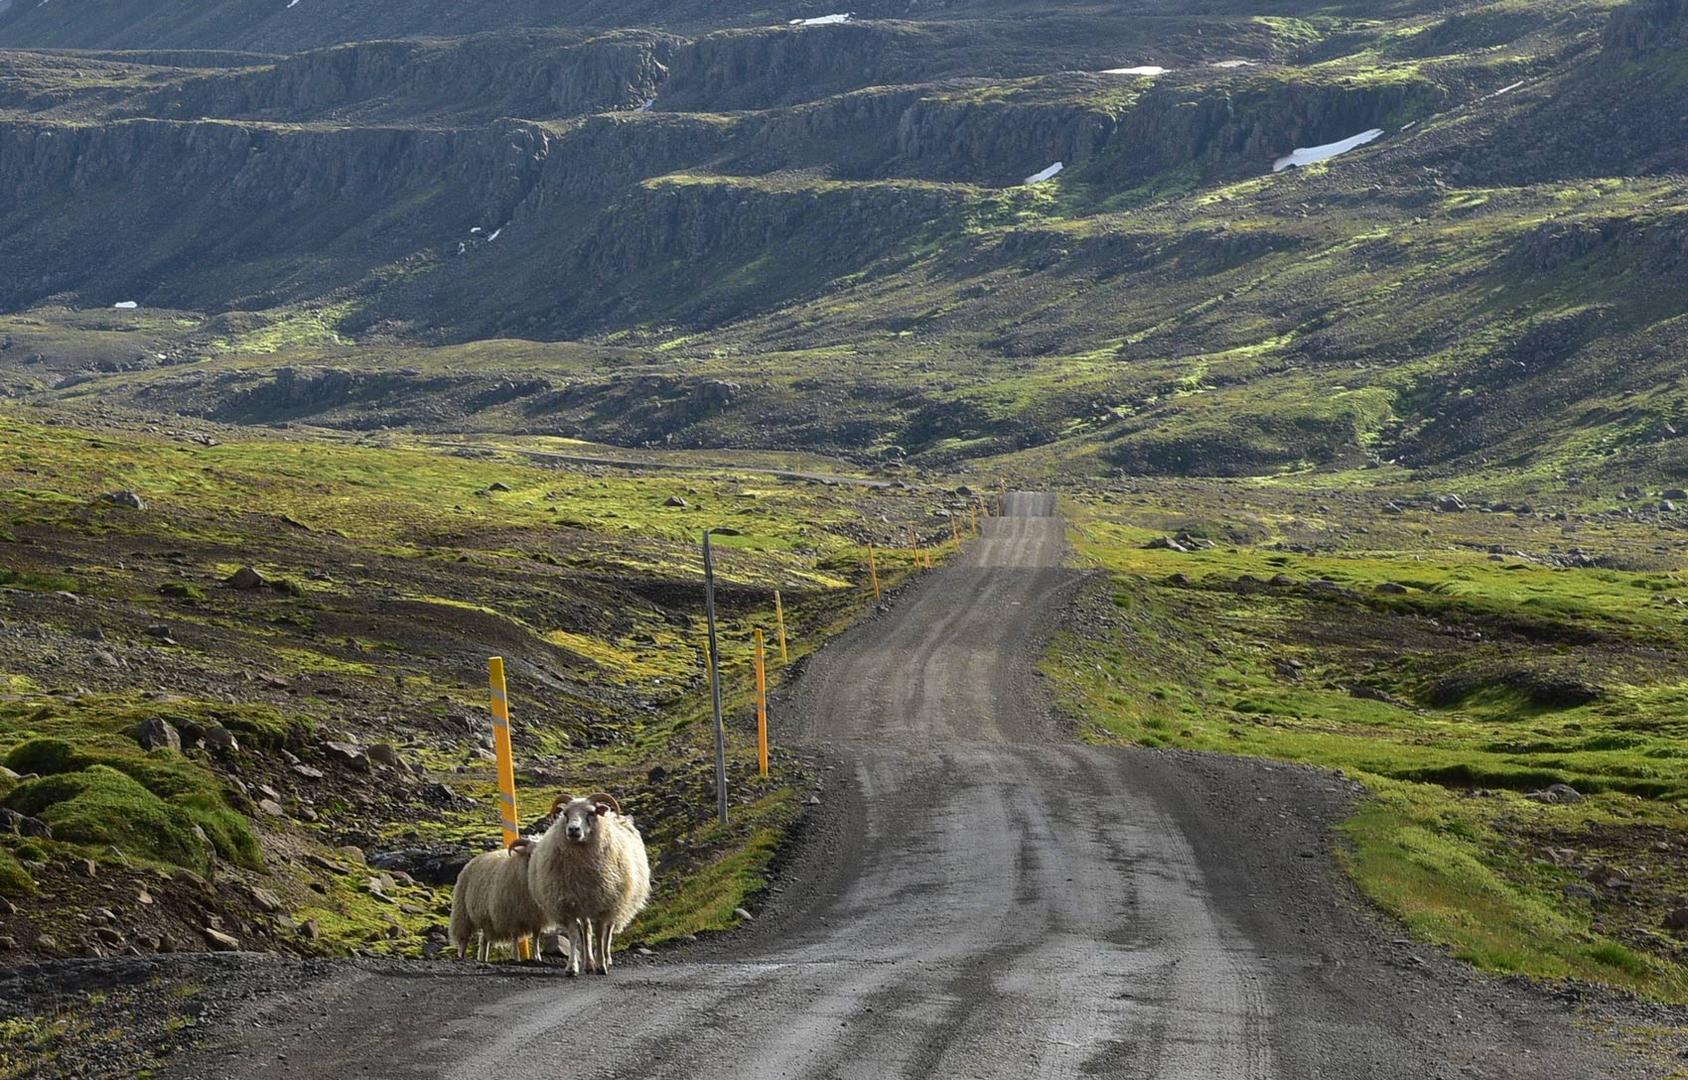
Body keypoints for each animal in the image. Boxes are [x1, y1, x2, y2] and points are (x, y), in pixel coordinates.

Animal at [530, 793, 648, 978]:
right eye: (565, 814)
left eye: (591, 813)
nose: (573, 830)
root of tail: (612, 815)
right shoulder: (569, 904)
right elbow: (574, 935)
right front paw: (572, 967)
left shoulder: (603, 904)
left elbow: (600, 935)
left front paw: (601, 965)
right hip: (583, 905)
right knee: (585, 930)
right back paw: (588, 963)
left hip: (615, 903)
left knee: (607, 932)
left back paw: (605, 959)